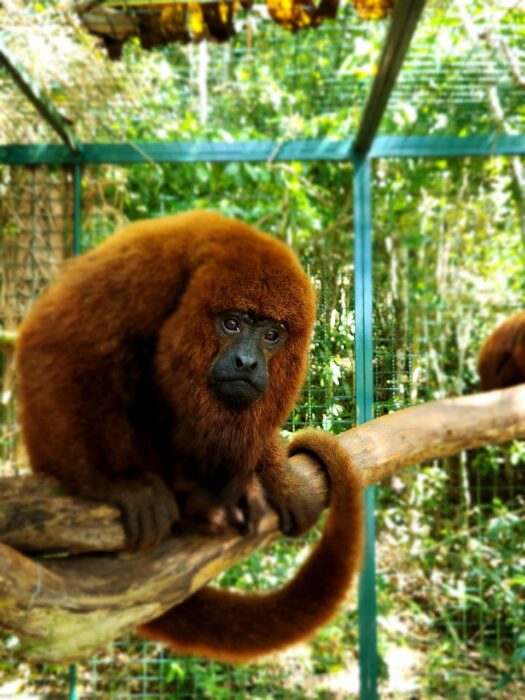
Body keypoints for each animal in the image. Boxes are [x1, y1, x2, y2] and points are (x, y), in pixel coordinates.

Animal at [15, 211, 360, 660]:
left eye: (272, 334)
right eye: (231, 323)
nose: (247, 362)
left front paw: (278, 476)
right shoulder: (144, 273)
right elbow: (52, 341)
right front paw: (114, 484)